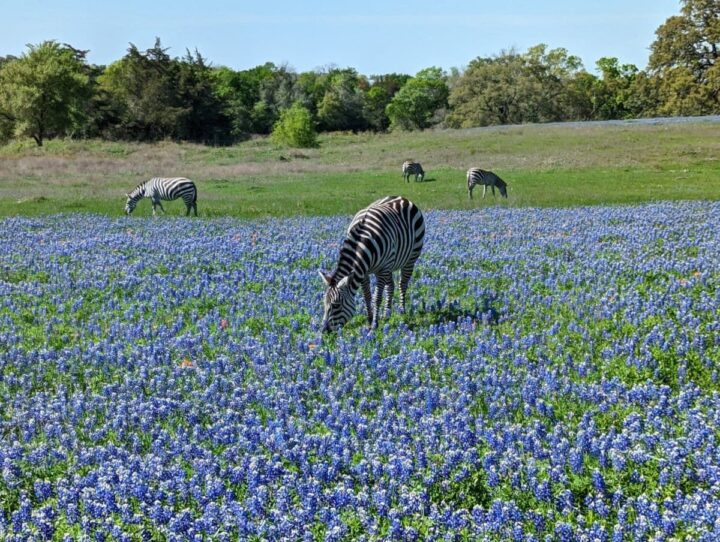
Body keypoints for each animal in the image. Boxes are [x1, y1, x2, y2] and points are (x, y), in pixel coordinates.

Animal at [319, 196, 425, 332]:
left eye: (336, 305)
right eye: (324, 304)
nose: (324, 331)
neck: (362, 241)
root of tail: (401, 197)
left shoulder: (382, 270)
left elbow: (377, 298)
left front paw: (375, 323)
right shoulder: (363, 271)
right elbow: (367, 295)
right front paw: (369, 319)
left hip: (409, 260)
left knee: (402, 285)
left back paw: (402, 311)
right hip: (390, 266)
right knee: (391, 286)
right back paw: (387, 314)